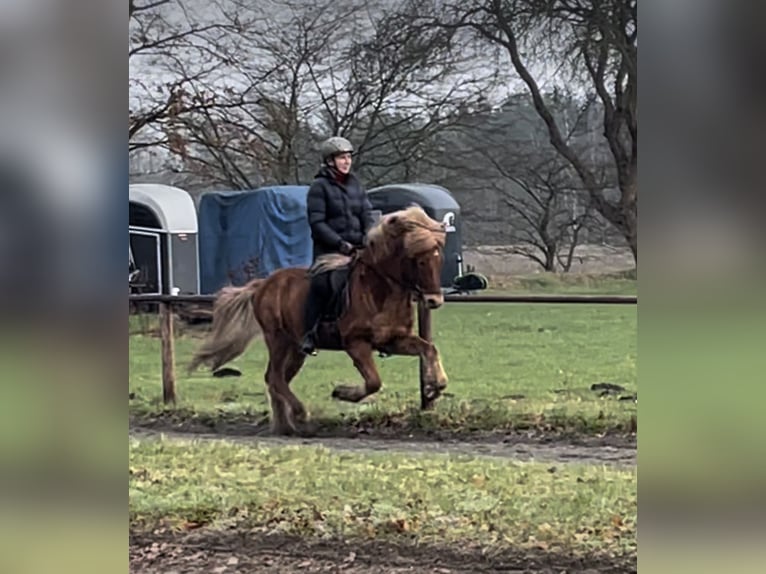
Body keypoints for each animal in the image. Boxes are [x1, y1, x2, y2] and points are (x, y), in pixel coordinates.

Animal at [189, 205, 449, 435]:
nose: (434, 301)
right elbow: (373, 381)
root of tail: (262, 285)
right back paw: (300, 415)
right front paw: (342, 392)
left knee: (276, 379)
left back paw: (287, 426)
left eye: (439, 259)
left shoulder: (394, 340)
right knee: (275, 378)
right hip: (278, 339)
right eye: (419, 260)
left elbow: (429, 349)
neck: (380, 287)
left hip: (295, 349)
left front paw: (434, 386)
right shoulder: (356, 343)